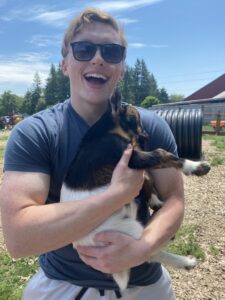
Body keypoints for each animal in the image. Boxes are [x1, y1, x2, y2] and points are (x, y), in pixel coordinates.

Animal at [60, 91, 210, 290]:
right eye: (136, 118)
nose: (147, 137)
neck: (104, 131)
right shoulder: (130, 157)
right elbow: (162, 154)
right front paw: (195, 167)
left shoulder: (134, 159)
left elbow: (147, 176)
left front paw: (156, 200)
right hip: (130, 235)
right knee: (148, 253)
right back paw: (184, 260)